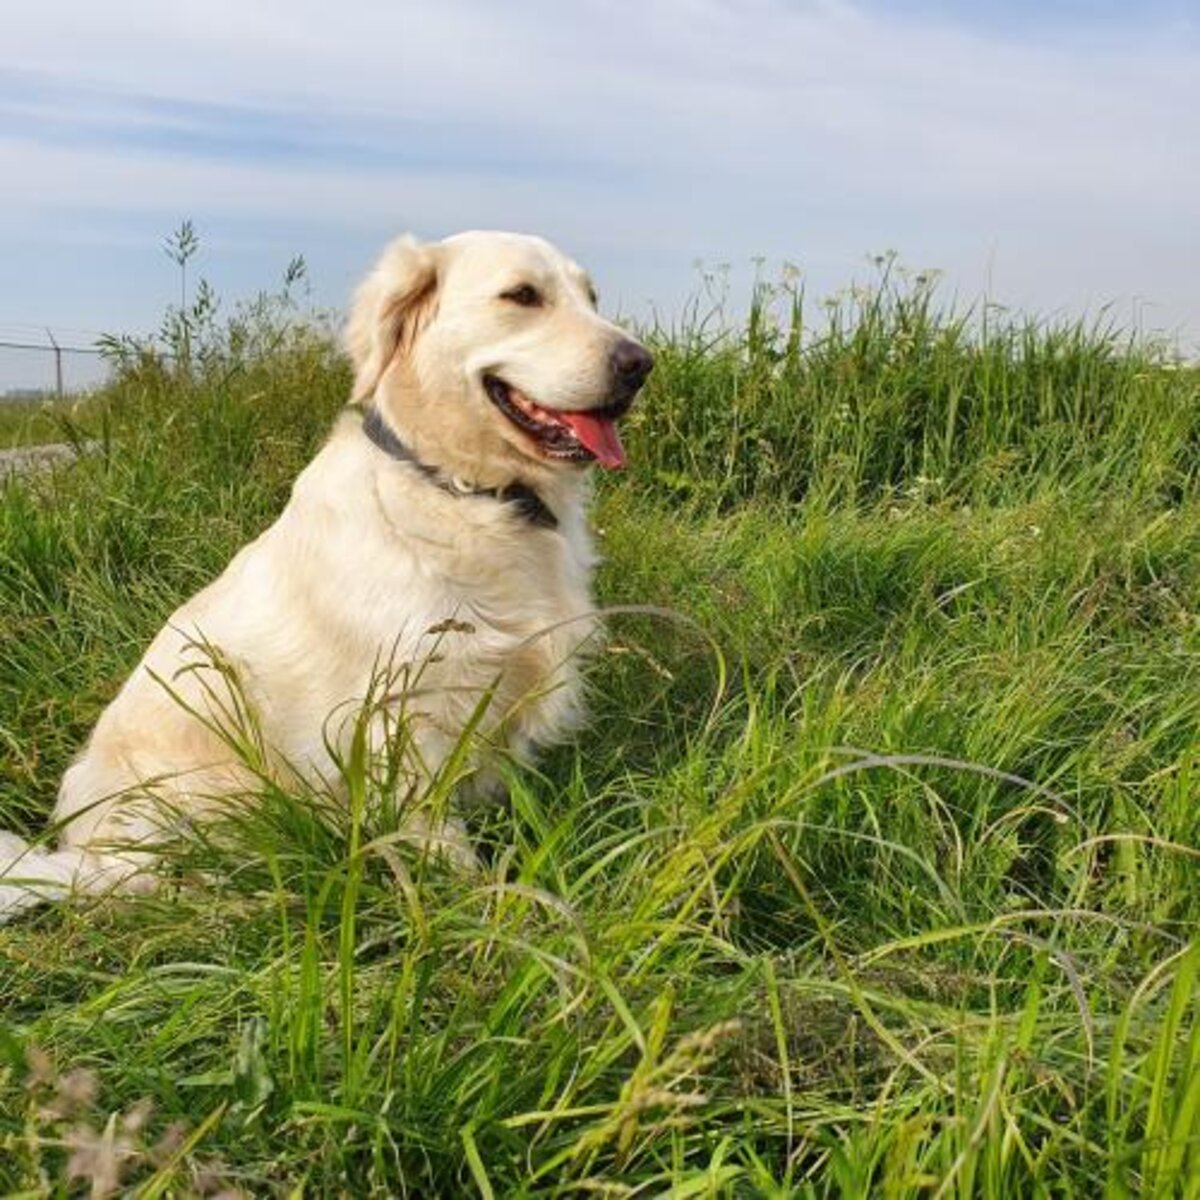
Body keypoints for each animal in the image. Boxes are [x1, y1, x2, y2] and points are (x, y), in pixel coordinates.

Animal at [0, 231, 652, 916]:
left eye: (591, 296)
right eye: (523, 295)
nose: (642, 363)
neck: (460, 488)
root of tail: (81, 857)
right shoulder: (407, 715)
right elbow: (438, 834)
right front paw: (480, 906)